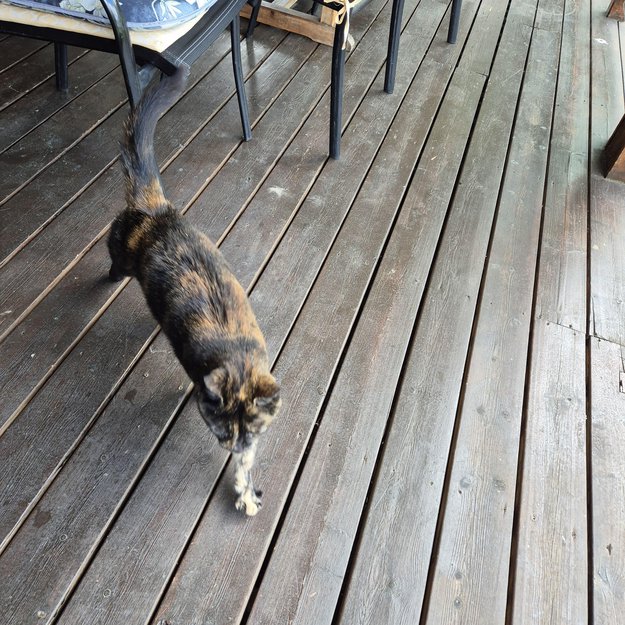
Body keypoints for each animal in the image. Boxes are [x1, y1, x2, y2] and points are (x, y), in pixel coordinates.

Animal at [107, 65, 280, 516]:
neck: (238, 358)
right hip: (122, 249)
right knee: (112, 247)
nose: (231, 447)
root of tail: (159, 210)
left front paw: (245, 489)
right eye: (221, 431)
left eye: (250, 433)